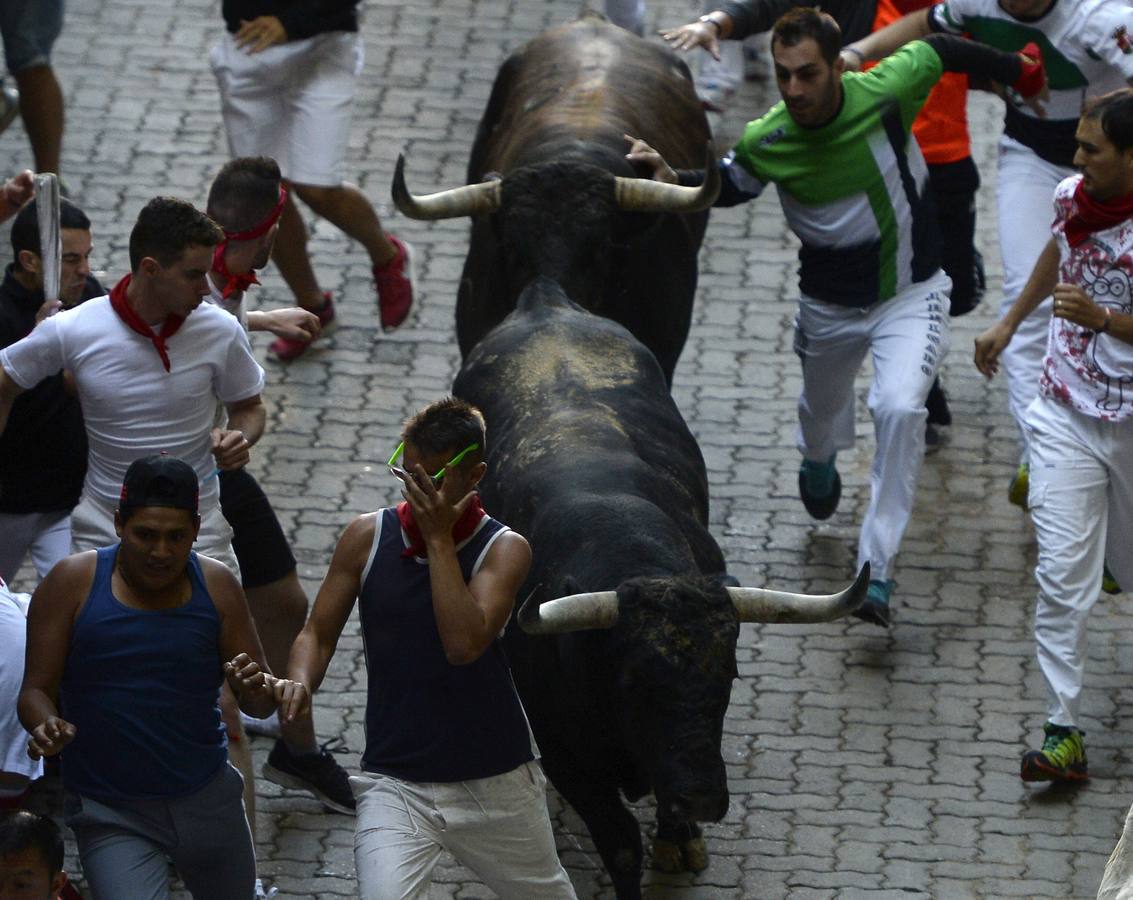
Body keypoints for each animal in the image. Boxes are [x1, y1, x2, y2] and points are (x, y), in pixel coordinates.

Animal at [450, 276, 865, 893]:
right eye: (636, 680)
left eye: (728, 674)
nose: (702, 796)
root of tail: (545, 300)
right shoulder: (565, 752)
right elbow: (620, 841)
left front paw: (680, 838)